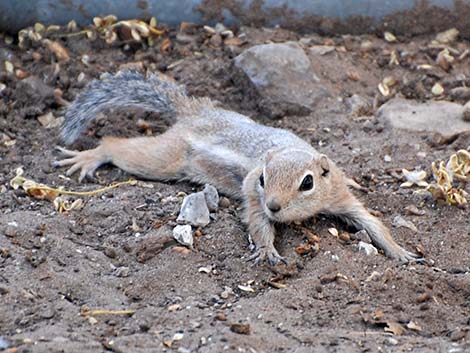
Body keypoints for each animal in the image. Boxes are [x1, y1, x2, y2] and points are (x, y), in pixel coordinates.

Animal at [54, 71, 418, 264]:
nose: (275, 205)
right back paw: (90, 156)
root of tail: (195, 112)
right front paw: (268, 249)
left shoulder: (339, 196)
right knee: (119, 146)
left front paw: (400, 252)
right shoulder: (253, 196)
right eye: (263, 179)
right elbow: (257, 222)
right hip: (164, 158)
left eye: (308, 183)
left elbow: (372, 223)